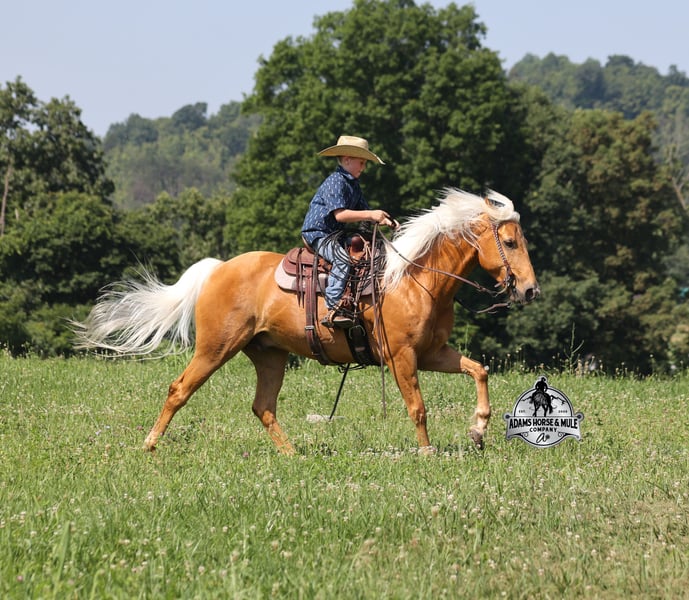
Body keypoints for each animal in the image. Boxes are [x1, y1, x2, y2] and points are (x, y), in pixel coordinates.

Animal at [73, 188, 540, 454]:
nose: (530, 291)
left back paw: (293, 454)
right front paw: (427, 453)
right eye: (511, 241)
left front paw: (478, 430)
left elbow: (478, 370)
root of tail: (218, 268)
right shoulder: (403, 357)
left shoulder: (432, 353)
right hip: (215, 348)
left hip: (269, 355)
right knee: (178, 390)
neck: (414, 280)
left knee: (262, 406)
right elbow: (418, 407)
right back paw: (150, 445)